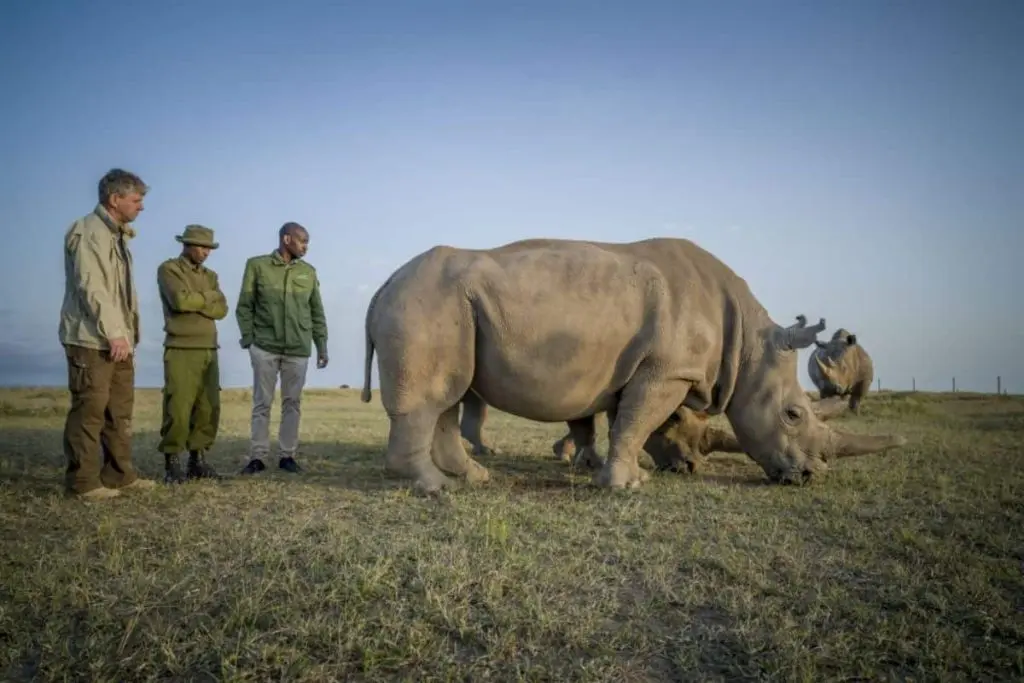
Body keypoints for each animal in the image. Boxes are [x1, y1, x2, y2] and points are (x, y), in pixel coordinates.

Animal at [360, 237, 905, 493]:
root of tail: (382, 285)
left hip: (445, 305)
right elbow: (637, 422)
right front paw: (627, 486)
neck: (749, 344)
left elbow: (627, 421)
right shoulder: (668, 369)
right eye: (793, 414)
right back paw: (433, 488)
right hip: (427, 303)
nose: (810, 476)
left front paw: (624, 471)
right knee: (433, 398)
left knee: (448, 396)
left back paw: (471, 478)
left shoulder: (646, 368)